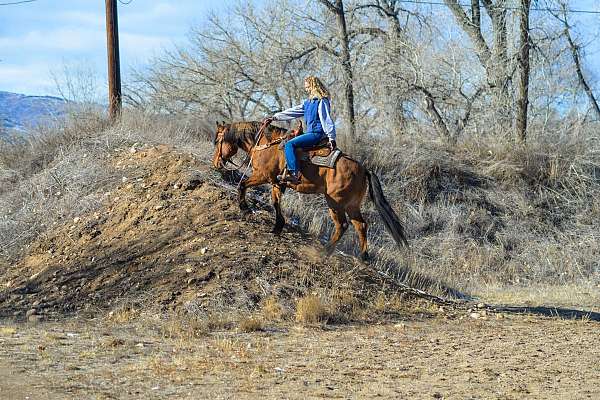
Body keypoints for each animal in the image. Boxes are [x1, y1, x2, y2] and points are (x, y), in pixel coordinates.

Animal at [211, 119, 408, 260]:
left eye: (217, 141)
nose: (216, 163)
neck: (267, 143)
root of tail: (364, 169)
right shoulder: (277, 183)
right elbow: (275, 202)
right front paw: (277, 227)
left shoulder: (263, 176)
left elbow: (242, 185)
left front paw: (244, 207)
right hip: (351, 205)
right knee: (361, 225)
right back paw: (364, 257)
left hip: (335, 202)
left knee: (342, 225)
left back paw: (325, 251)